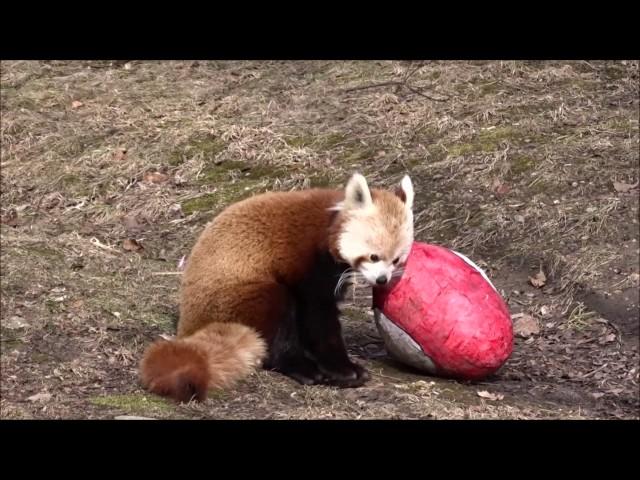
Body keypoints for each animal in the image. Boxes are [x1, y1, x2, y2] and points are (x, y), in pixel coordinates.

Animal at [139, 172, 416, 402]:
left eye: (396, 260)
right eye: (373, 257)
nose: (382, 280)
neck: (329, 225)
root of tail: (190, 325)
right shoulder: (308, 265)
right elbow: (318, 317)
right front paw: (344, 368)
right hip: (241, 296)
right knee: (277, 318)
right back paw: (302, 368)